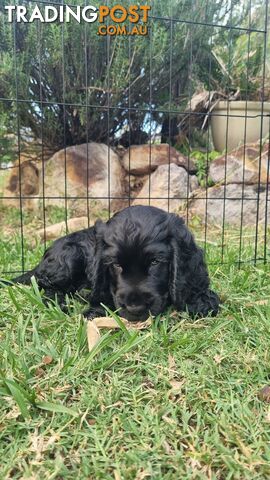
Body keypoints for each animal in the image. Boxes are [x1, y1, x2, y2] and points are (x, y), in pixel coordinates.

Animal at [11, 204, 220, 320]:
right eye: (116, 265)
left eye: (155, 262)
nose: (135, 308)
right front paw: (96, 311)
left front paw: (201, 301)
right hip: (68, 257)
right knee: (46, 288)